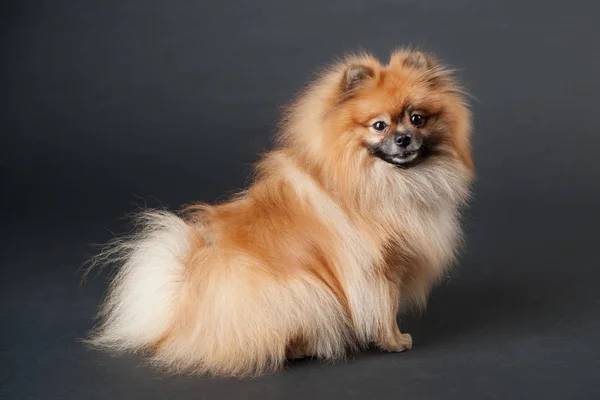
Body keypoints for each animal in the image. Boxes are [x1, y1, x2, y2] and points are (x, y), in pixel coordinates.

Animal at [89, 48, 474, 376]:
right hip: (303, 291)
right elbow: (386, 309)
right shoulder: (381, 267)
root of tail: (184, 304)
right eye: (379, 125)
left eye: (418, 118)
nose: (404, 138)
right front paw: (395, 341)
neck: (386, 180)